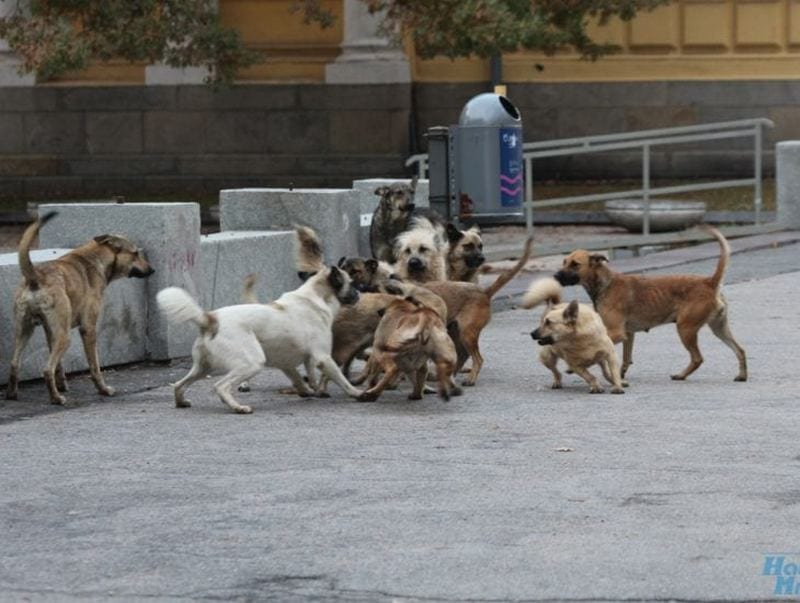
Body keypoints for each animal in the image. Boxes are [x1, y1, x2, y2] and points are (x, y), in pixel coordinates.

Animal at [156, 226, 362, 416]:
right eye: (351, 284)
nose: (359, 294)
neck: (315, 296)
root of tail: (210, 319)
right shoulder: (323, 357)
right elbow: (341, 379)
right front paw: (357, 393)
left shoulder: (289, 363)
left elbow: (303, 376)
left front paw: (309, 390)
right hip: (251, 363)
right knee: (221, 386)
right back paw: (238, 407)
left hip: (202, 367)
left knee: (179, 385)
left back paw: (182, 402)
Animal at [552, 226, 748, 382]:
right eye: (564, 262)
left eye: (575, 264)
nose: (555, 276)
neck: (606, 283)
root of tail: (709, 282)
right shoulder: (627, 335)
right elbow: (625, 358)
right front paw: (620, 375)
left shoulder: (615, 333)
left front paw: (573, 366)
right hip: (719, 328)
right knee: (740, 350)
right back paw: (742, 375)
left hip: (686, 329)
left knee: (697, 358)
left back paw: (681, 375)